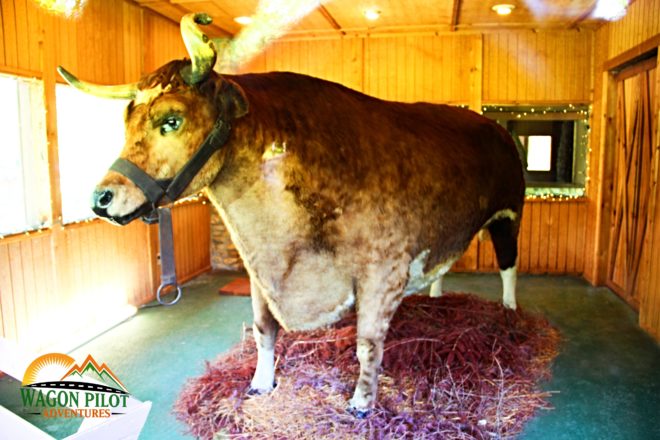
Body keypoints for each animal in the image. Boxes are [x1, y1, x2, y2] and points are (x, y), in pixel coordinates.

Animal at [62, 12, 524, 412]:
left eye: (171, 120)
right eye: (125, 122)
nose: (101, 197)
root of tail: (495, 127)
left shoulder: (383, 271)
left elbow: (368, 343)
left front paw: (361, 402)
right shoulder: (258, 273)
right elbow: (263, 330)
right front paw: (261, 382)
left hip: (510, 214)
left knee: (508, 264)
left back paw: (509, 310)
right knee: (445, 263)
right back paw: (436, 296)